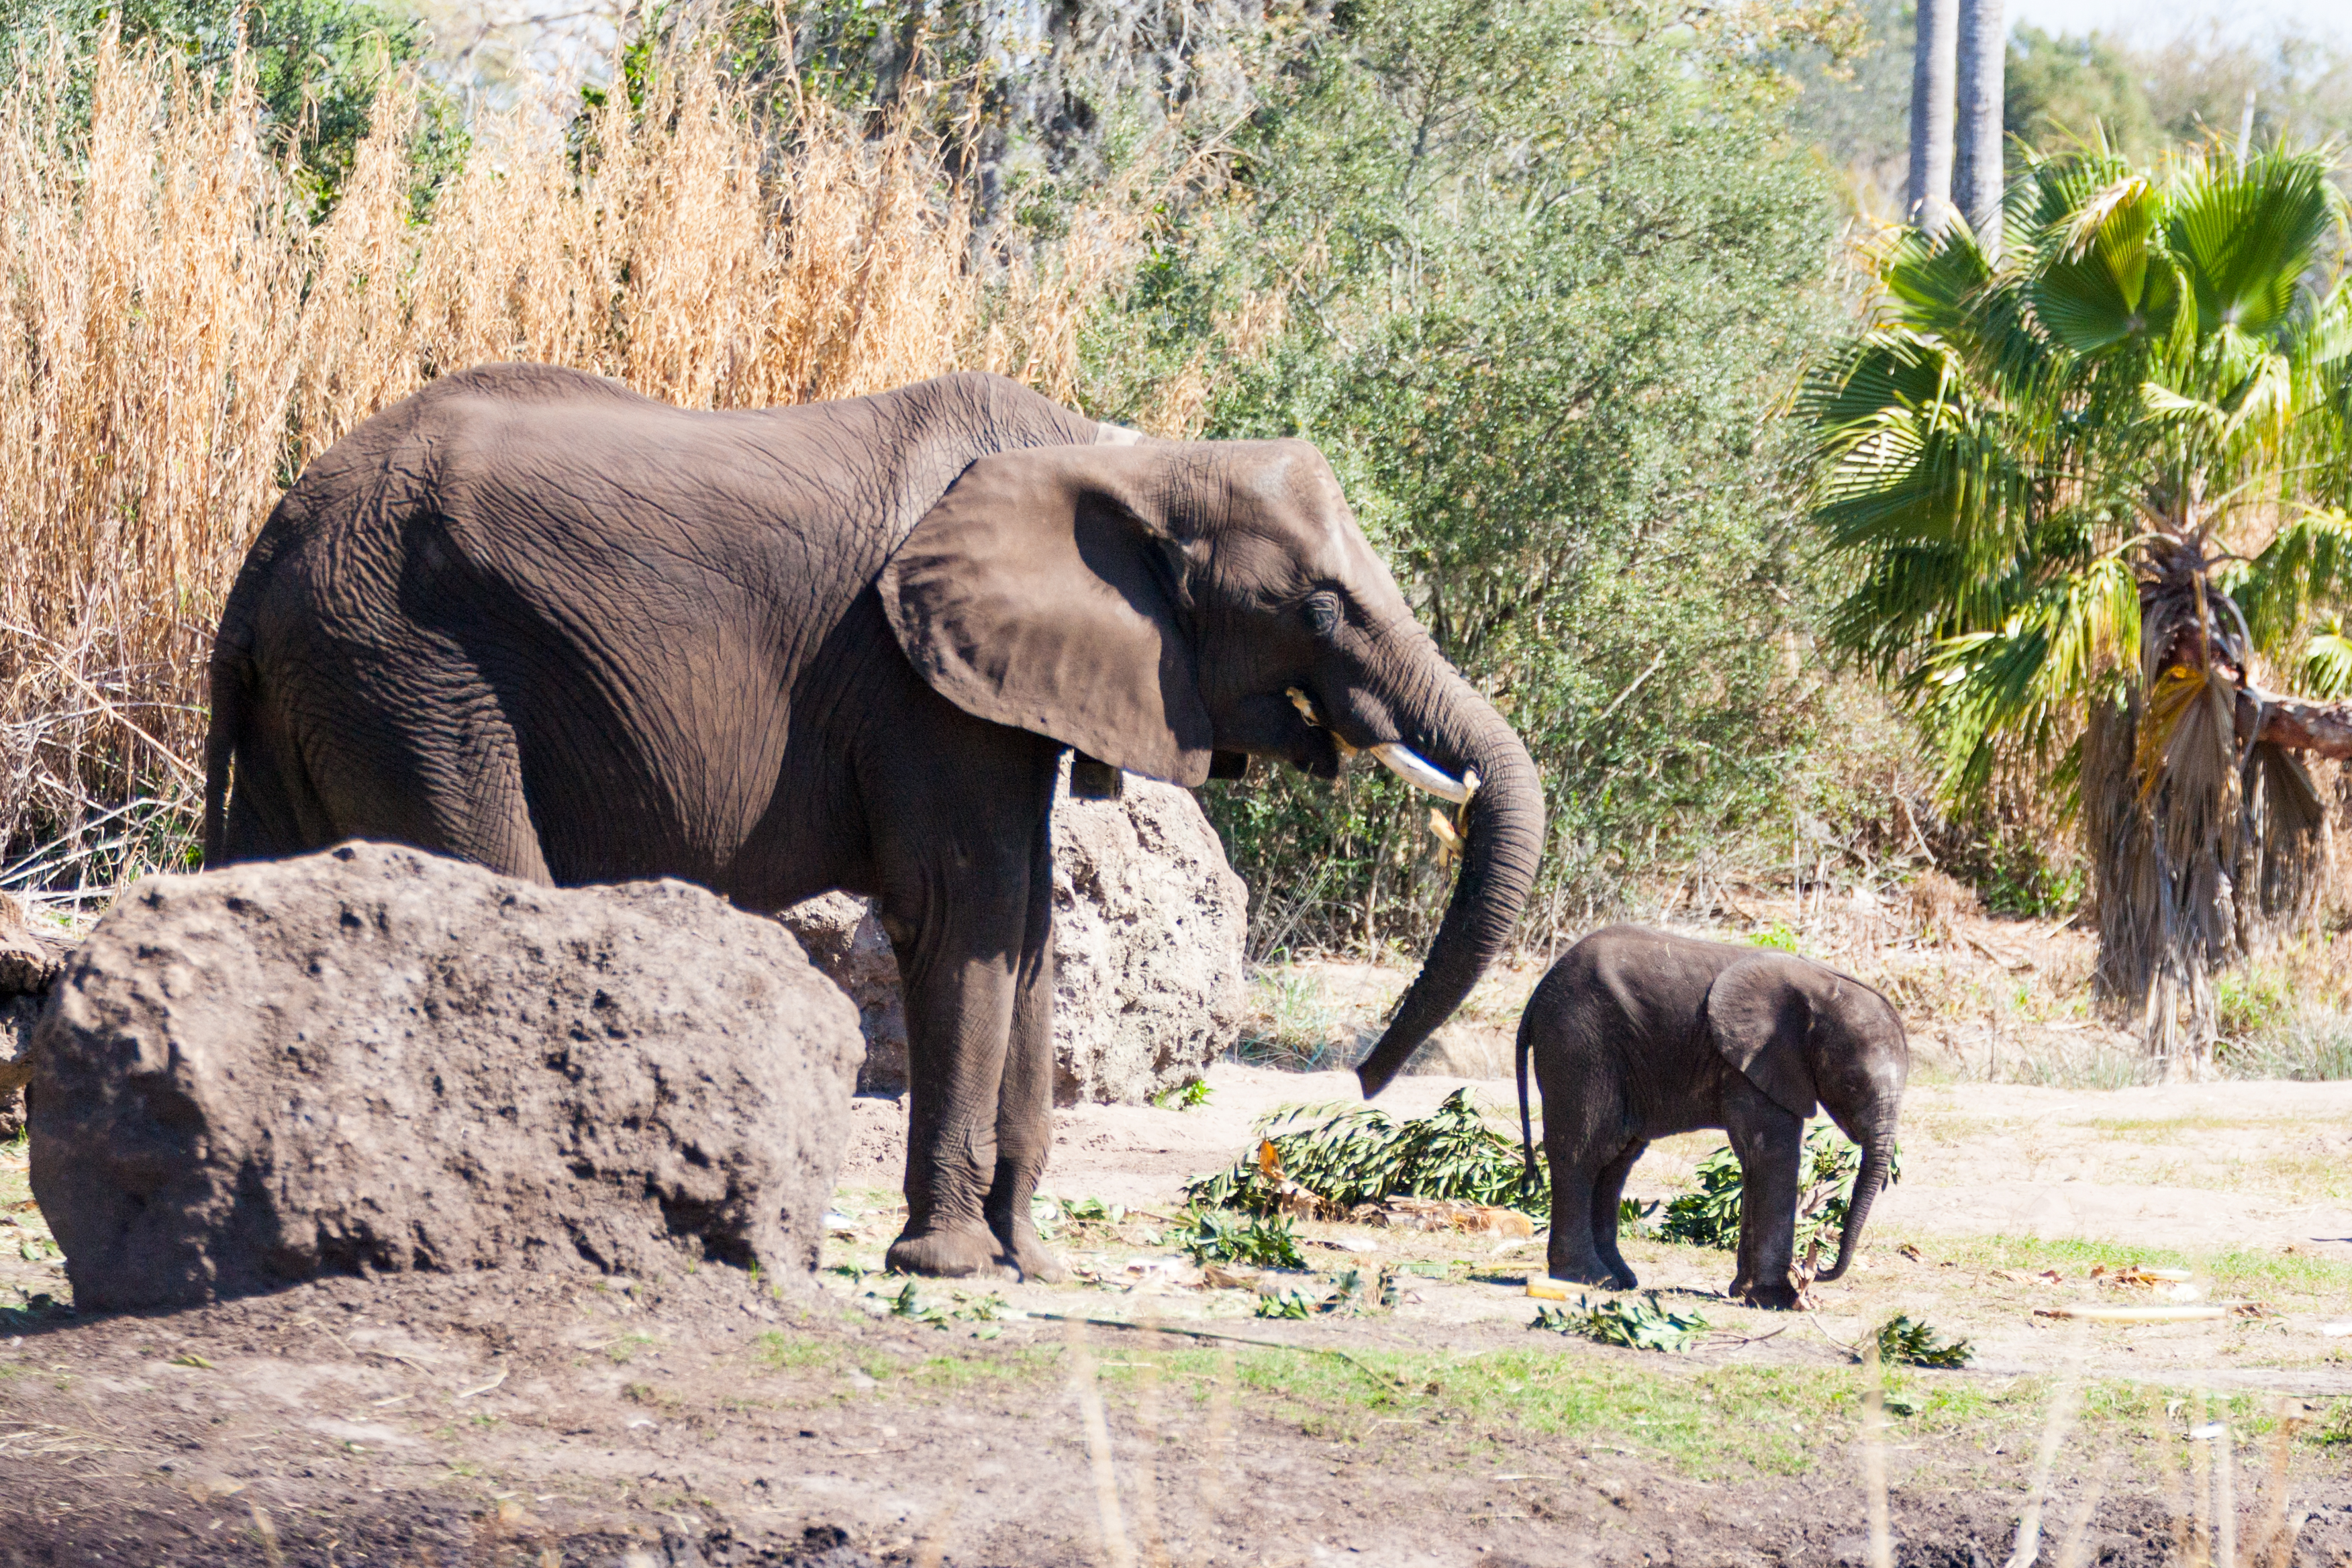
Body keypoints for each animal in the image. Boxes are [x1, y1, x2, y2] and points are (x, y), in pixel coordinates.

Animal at [207, 364, 1542, 1279]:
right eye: (1318, 607)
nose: (1365, 1086)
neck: (1123, 459)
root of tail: (268, 546)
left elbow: (1030, 932)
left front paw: (1029, 1263)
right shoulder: (918, 684)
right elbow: (967, 914)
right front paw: (949, 1265)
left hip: (334, 685)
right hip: (409, 676)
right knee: (489, 886)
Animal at [1514, 926, 1900, 1307]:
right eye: (1851, 1084)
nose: (1816, 1270)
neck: (1822, 987)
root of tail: (1537, 994)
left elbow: (1753, 1157)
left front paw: (1745, 1293)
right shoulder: (1756, 1059)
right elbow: (1772, 1153)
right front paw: (1778, 1300)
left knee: (1616, 1161)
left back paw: (1620, 1280)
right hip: (1579, 1043)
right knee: (1583, 1154)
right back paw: (1590, 1279)